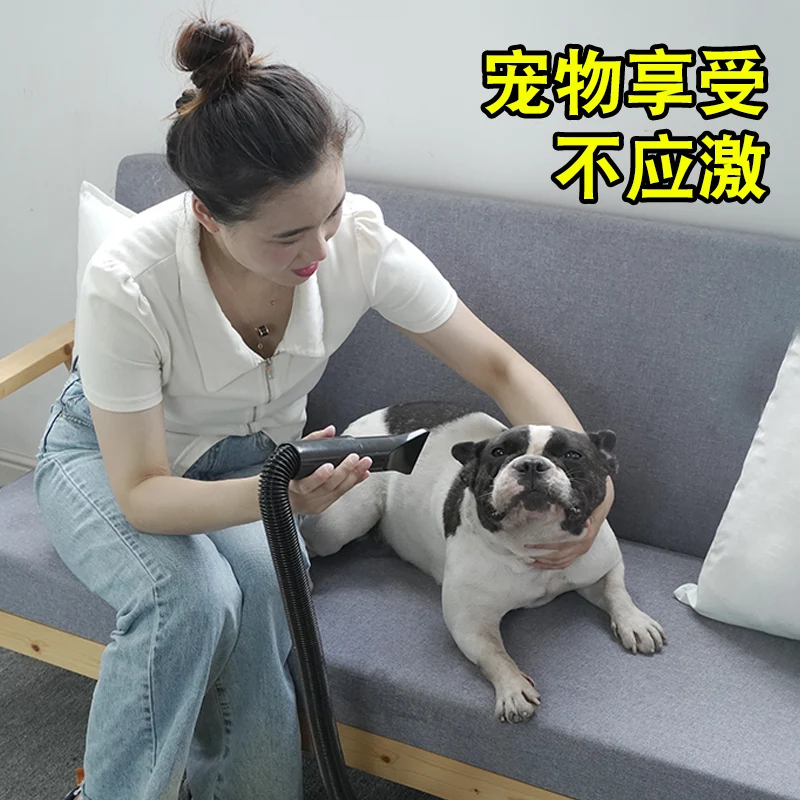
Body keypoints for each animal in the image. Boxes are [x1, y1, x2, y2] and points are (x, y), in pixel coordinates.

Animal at [300, 401, 665, 723]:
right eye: (499, 453)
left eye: (572, 455)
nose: (531, 464)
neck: (533, 546)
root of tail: (365, 423)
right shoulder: (470, 620)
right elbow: (493, 653)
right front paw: (513, 688)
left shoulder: (601, 563)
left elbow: (617, 590)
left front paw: (635, 622)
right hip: (344, 521)